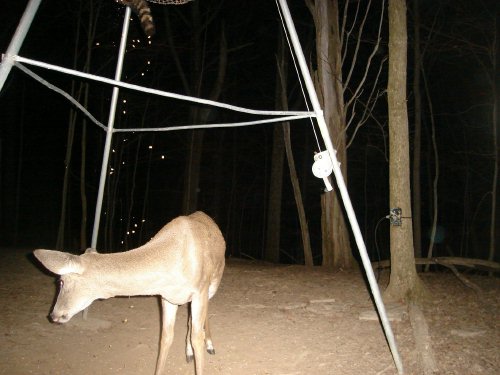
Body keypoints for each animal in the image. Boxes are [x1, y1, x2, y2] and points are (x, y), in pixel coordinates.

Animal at [33, 212, 225, 375]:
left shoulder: (200, 290)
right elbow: (166, 338)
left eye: (60, 281)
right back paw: (189, 352)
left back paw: (210, 345)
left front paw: (202, 348)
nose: (53, 315)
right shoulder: (167, 297)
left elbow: (197, 338)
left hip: (213, 283)